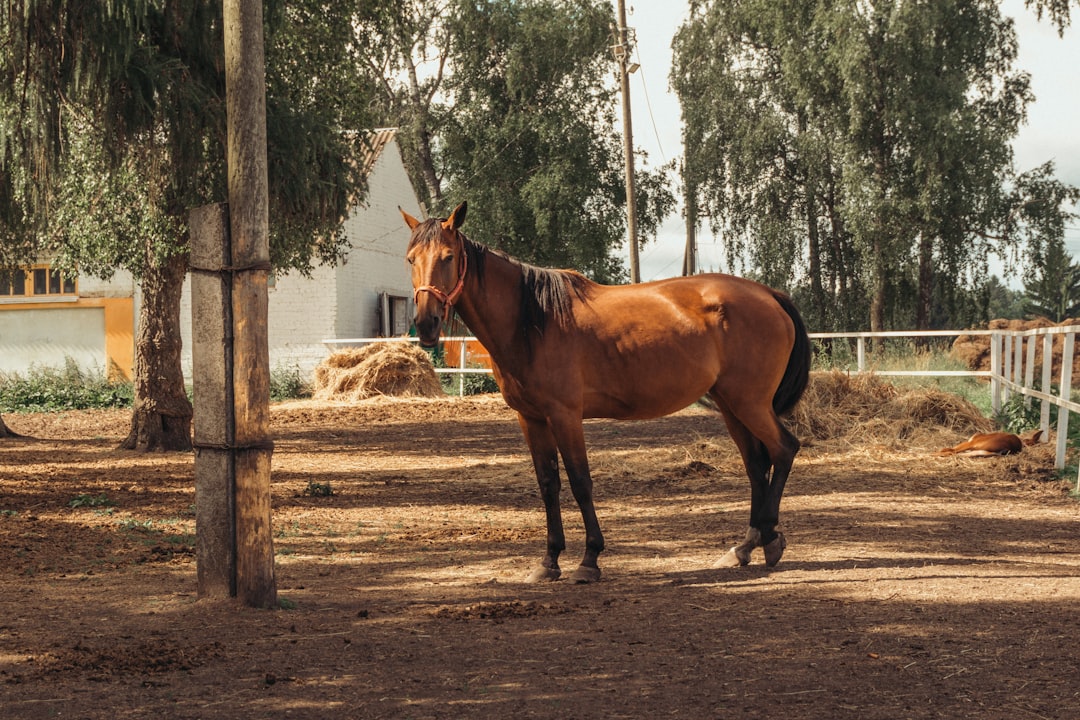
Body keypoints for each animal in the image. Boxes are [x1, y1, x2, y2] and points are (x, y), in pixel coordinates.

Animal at [402, 202, 811, 583]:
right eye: (411, 259)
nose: (426, 323)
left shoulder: (565, 416)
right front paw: (549, 561)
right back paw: (745, 547)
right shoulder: (531, 419)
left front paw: (589, 559)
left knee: (784, 449)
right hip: (730, 404)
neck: (533, 321)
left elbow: (581, 482)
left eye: (448, 257)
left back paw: (769, 537)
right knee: (756, 464)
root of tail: (769, 294)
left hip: (749, 403)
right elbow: (548, 484)